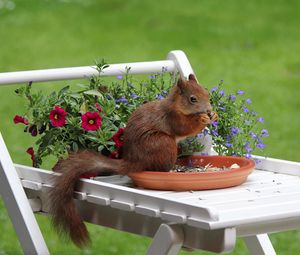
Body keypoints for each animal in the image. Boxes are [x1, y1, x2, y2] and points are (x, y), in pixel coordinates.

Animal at [49, 73, 218, 247]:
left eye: (206, 93)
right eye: (193, 99)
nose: (209, 110)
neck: (176, 105)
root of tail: (133, 161)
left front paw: (214, 115)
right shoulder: (173, 118)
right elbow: (185, 128)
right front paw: (202, 119)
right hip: (163, 143)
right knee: (160, 168)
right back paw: (172, 170)